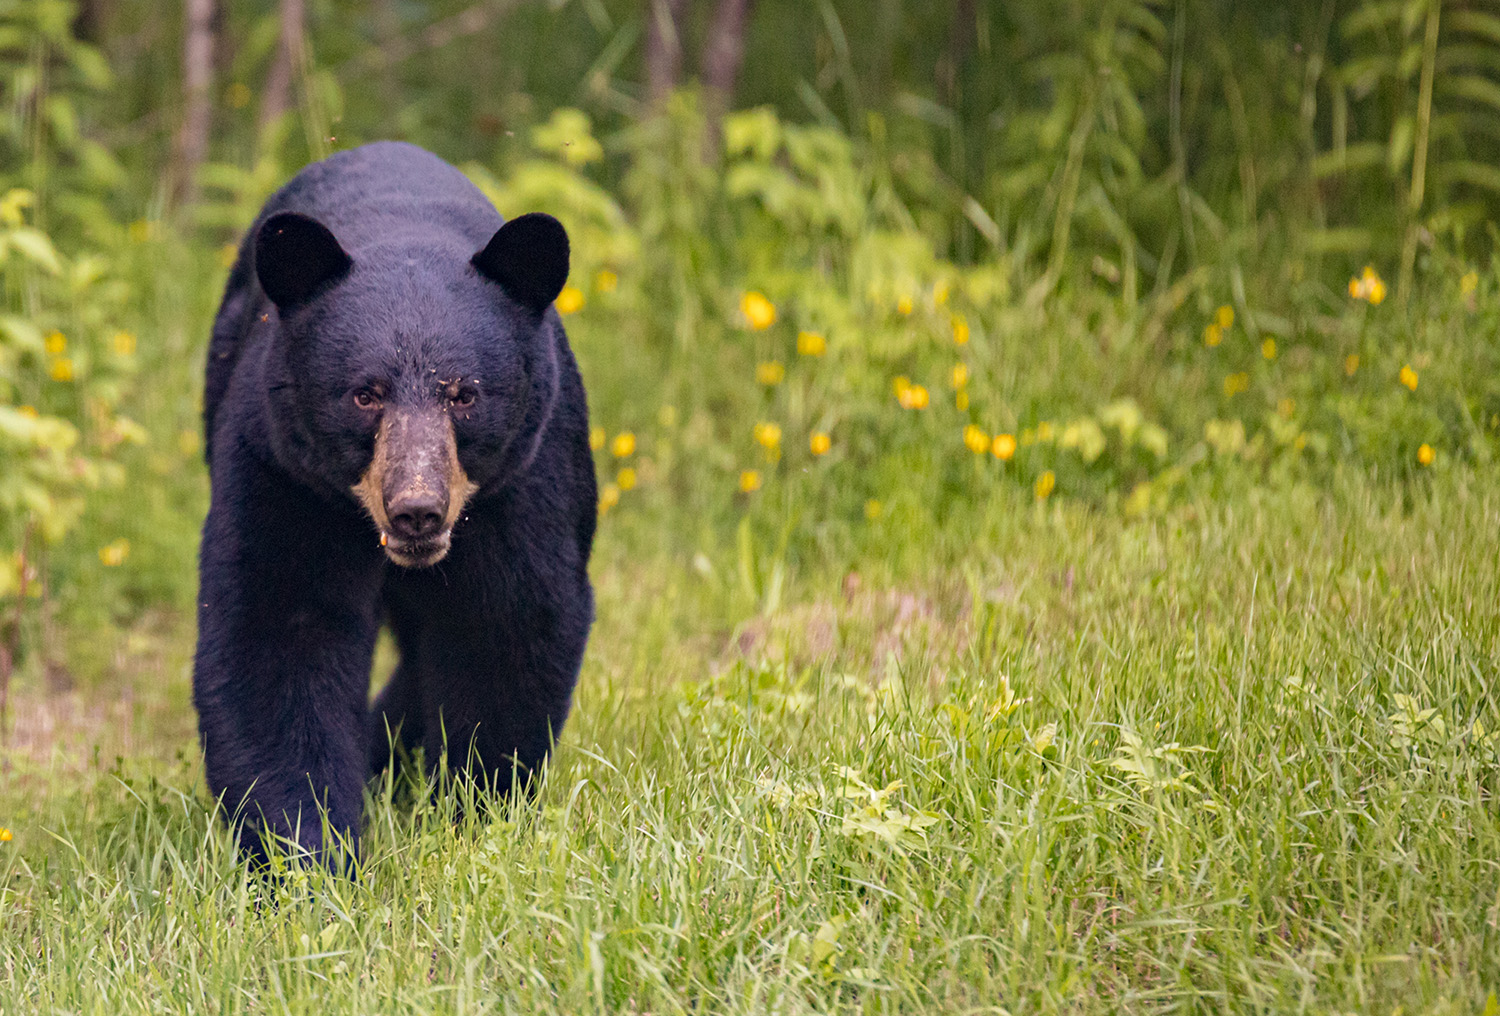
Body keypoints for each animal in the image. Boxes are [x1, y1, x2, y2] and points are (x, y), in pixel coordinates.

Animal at [194, 141, 596, 869]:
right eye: (365, 393)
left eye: (464, 393)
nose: (417, 510)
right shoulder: (284, 469)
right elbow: (278, 629)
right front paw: (306, 856)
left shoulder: (524, 477)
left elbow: (508, 618)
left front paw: (471, 816)